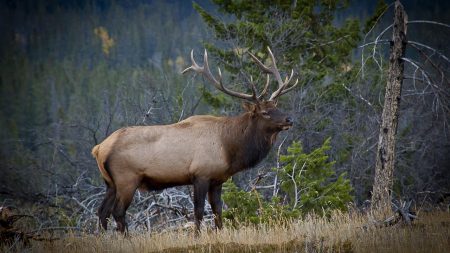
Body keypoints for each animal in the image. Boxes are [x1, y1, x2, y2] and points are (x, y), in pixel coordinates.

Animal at [91, 46, 298, 232]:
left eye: (276, 107)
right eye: (265, 112)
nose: (289, 119)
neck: (229, 148)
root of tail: (99, 148)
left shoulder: (217, 179)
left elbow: (218, 211)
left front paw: (220, 233)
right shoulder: (200, 174)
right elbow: (198, 211)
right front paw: (197, 235)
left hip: (110, 183)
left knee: (102, 212)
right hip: (126, 179)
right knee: (118, 212)